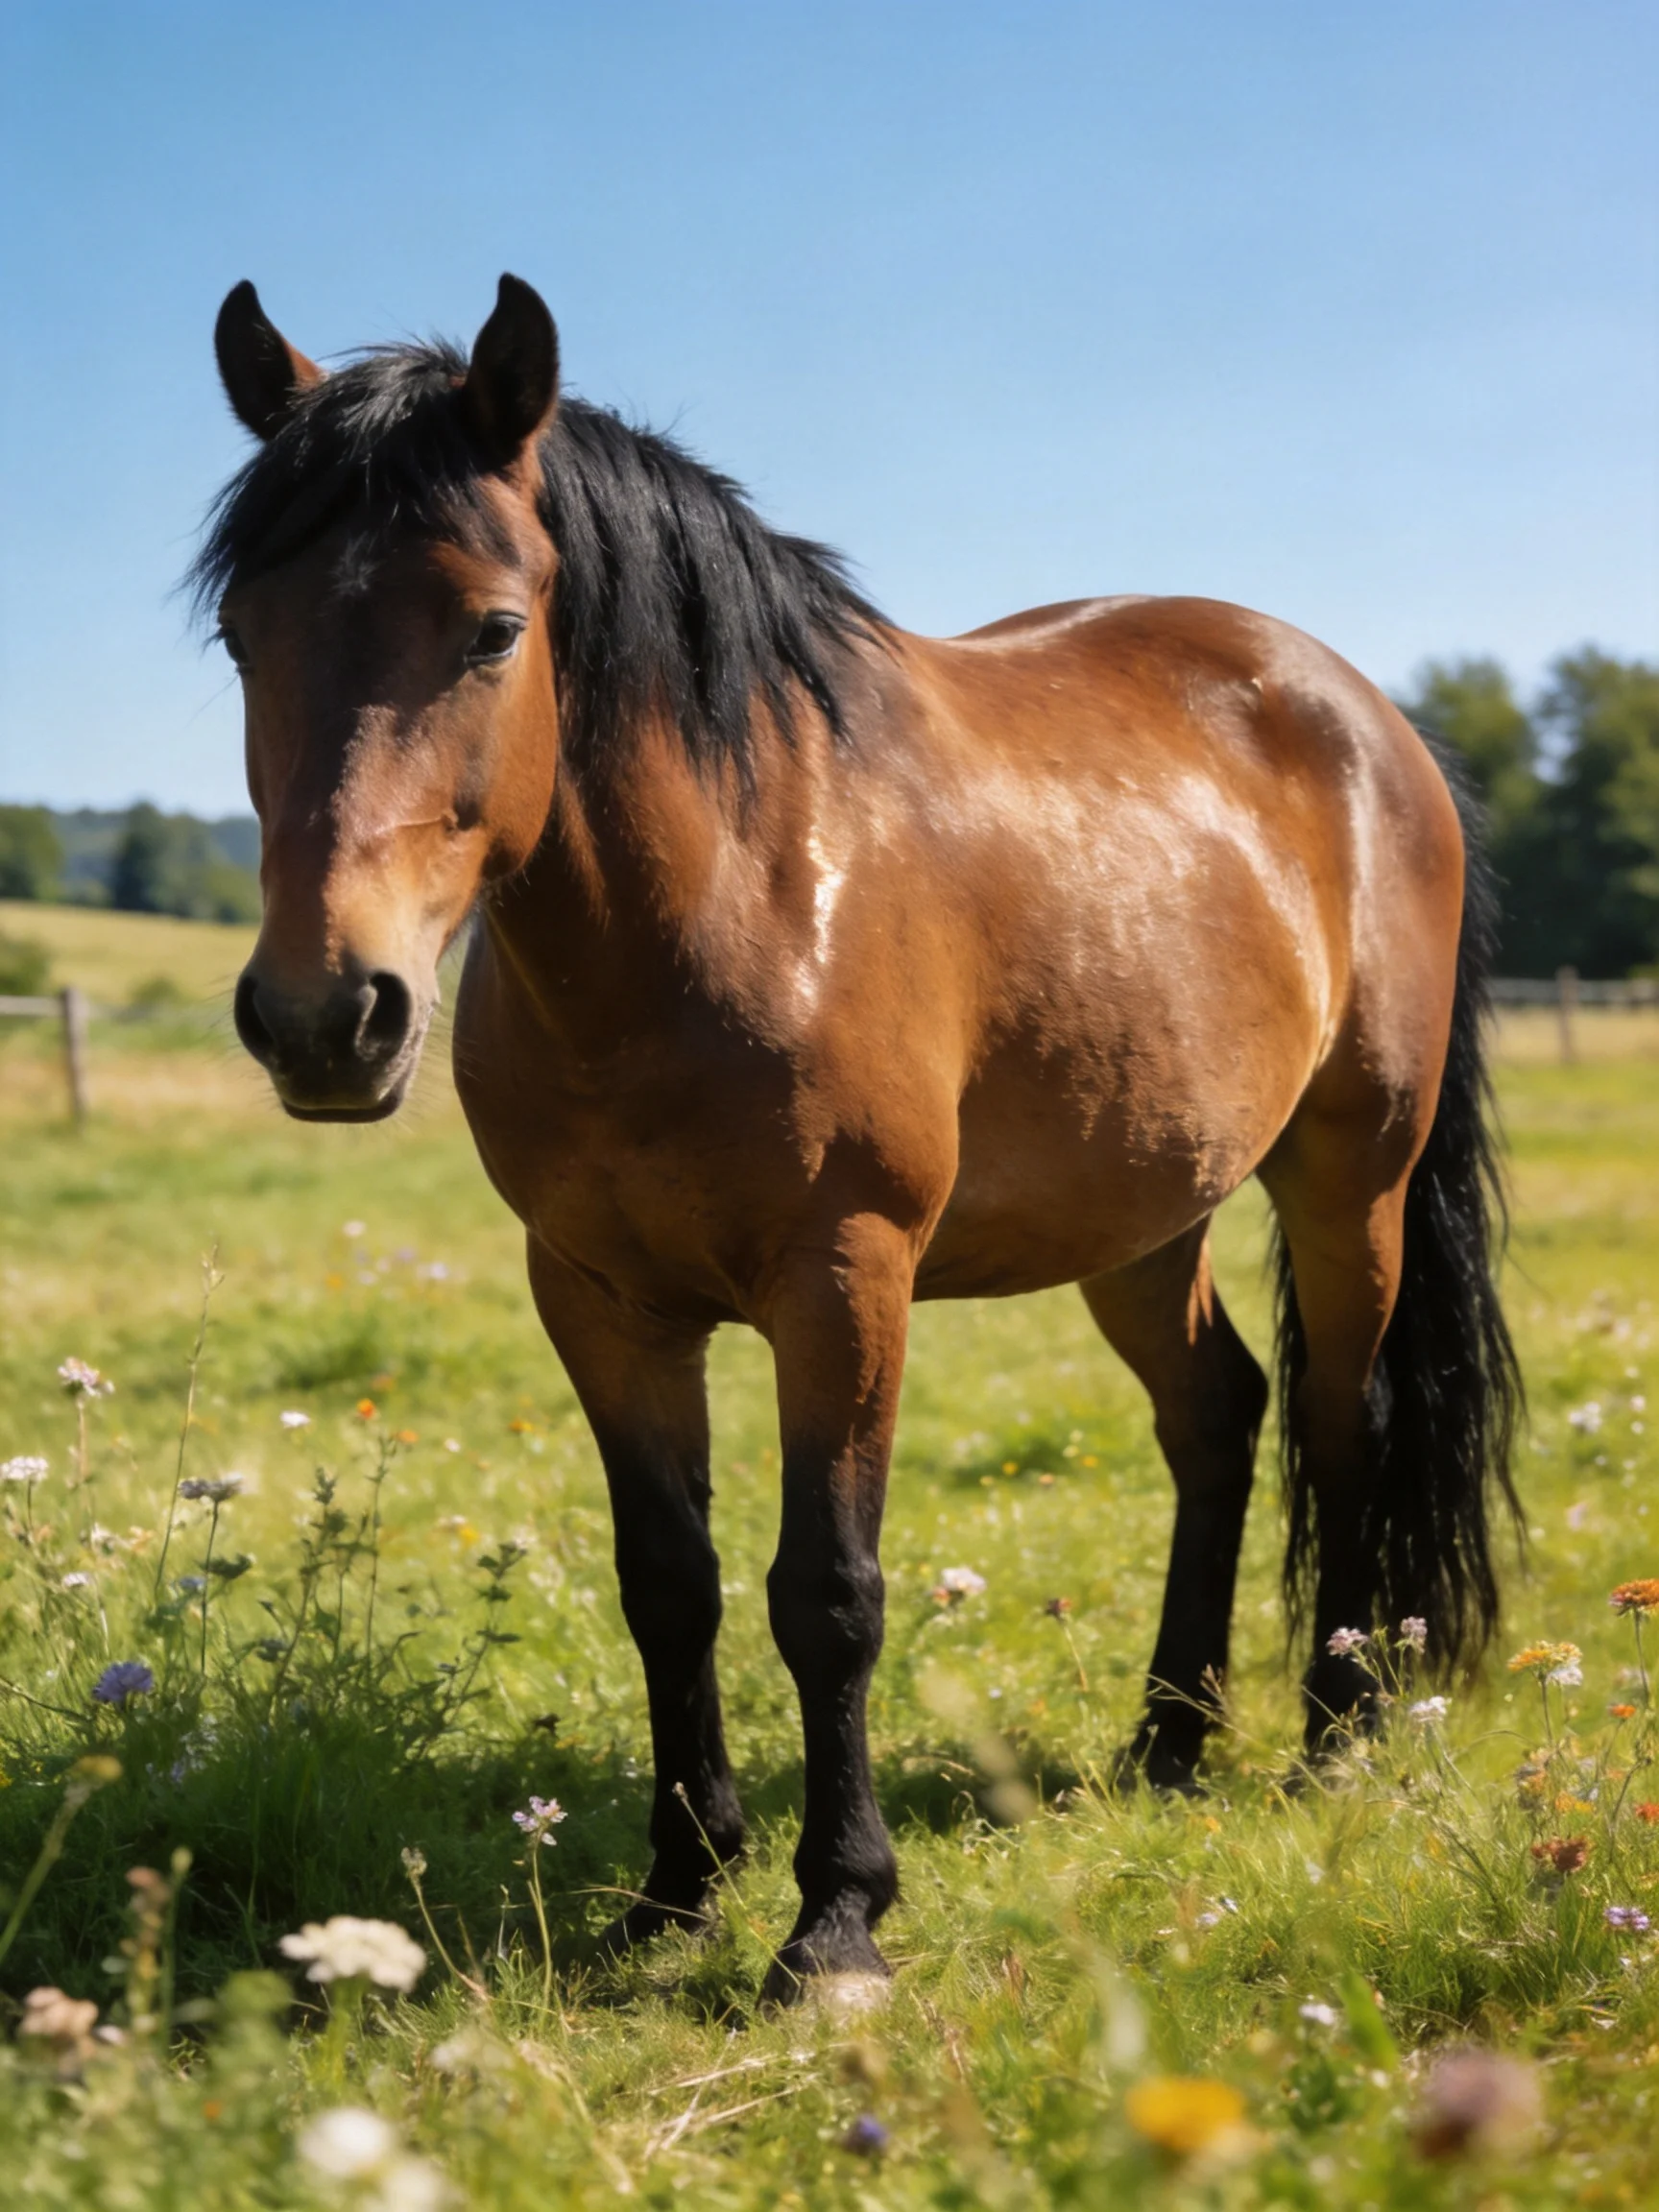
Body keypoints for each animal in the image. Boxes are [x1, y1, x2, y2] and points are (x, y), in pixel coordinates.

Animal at [197, 273, 1520, 2005]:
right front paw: (675, 1889)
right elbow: (668, 1584)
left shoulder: (844, 1279)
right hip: (1141, 1211)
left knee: (1344, 1421)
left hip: (1349, 1173)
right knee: (1216, 1417)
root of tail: (1371, 721)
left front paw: (834, 1915)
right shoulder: (599, 1299)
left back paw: (1335, 1738)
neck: (719, 901)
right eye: (241, 634)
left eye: (491, 627)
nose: (323, 1013)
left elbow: (824, 1591)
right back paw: (1168, 1744)